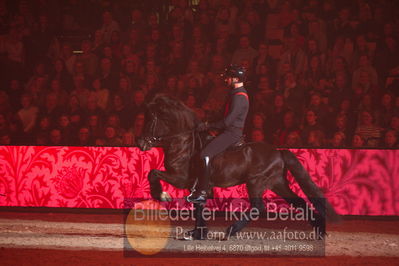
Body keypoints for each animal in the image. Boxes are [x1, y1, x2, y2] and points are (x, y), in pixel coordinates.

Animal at [138, 95, 340, 239]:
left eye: (150, 120)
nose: (141, 143)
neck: (183, 142)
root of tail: (278, 152)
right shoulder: (196, 187)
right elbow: (199, 206)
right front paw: (197, 233)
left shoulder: (180, 178)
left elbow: (152, 173)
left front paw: (162, 195)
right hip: (277, 183)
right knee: (299, 202)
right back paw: (320, 231)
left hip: (256, 182)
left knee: (259, 207)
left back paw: (231, 230)